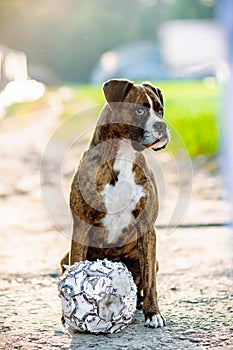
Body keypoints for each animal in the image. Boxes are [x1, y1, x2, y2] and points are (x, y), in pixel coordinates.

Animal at [60, 79, 169, 328]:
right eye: (139, 111)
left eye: (160, 110)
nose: (162, 125)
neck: (124, 154)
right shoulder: (81, 228)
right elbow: (75, 269)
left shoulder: (147, 228)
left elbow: (150, 281)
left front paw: (153, 313)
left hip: (152, 260)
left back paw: (139, 303)